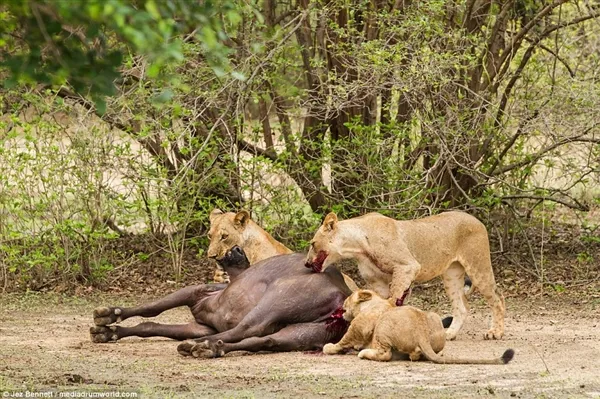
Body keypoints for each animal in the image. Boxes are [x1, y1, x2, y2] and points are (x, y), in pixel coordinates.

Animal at [90, 247, 352, 360]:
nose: (236, 249)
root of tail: (343, 297)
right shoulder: (201, 325)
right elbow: (149, 326)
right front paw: (110, 332)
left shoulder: (194, 293)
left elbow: (151, 309)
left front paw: (109, 316)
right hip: (300, 334)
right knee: (263, 341)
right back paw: (211, 348)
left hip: (275, 300)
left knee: (247, 330)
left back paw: (199, 345)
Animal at [304, 212, 506, 340]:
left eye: (313, 243)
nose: (305, 263)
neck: (357, 246)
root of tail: (477, 220)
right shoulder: (377, 282)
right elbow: (383, 303)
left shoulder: (407, 266)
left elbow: (393, 299)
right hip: (452, 275)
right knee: (462, 307)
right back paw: (449, 334)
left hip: (478, 265)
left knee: (498, 298)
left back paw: (495, 332)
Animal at [326, 290, 512, 366]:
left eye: (347, 300)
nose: (341, 308)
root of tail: (420, 330)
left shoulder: (358, 326)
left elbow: (344, 340)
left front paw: (330, 347)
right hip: (434, 317)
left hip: (383, 325)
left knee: (385, 354)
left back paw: (364, 353)